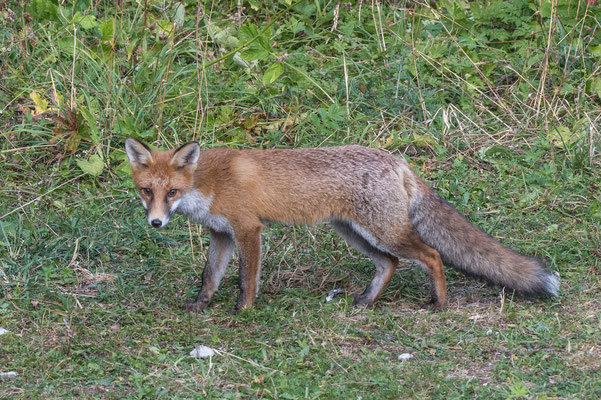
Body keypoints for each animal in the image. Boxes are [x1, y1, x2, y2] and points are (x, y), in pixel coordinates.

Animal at [125, 138, 556, 312]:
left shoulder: (248, 229)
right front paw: (200, 306)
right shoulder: (221, 234)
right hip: (355, 233)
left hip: (386, 233)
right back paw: (367, 301)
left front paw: (243, 311)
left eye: (172, 192)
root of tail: (397, 160)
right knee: (389, 265)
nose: (156, 222)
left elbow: (247, 278)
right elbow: (209, 276)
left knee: (432, 255)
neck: (209, 183)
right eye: (147, 191)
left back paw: (440, 303)